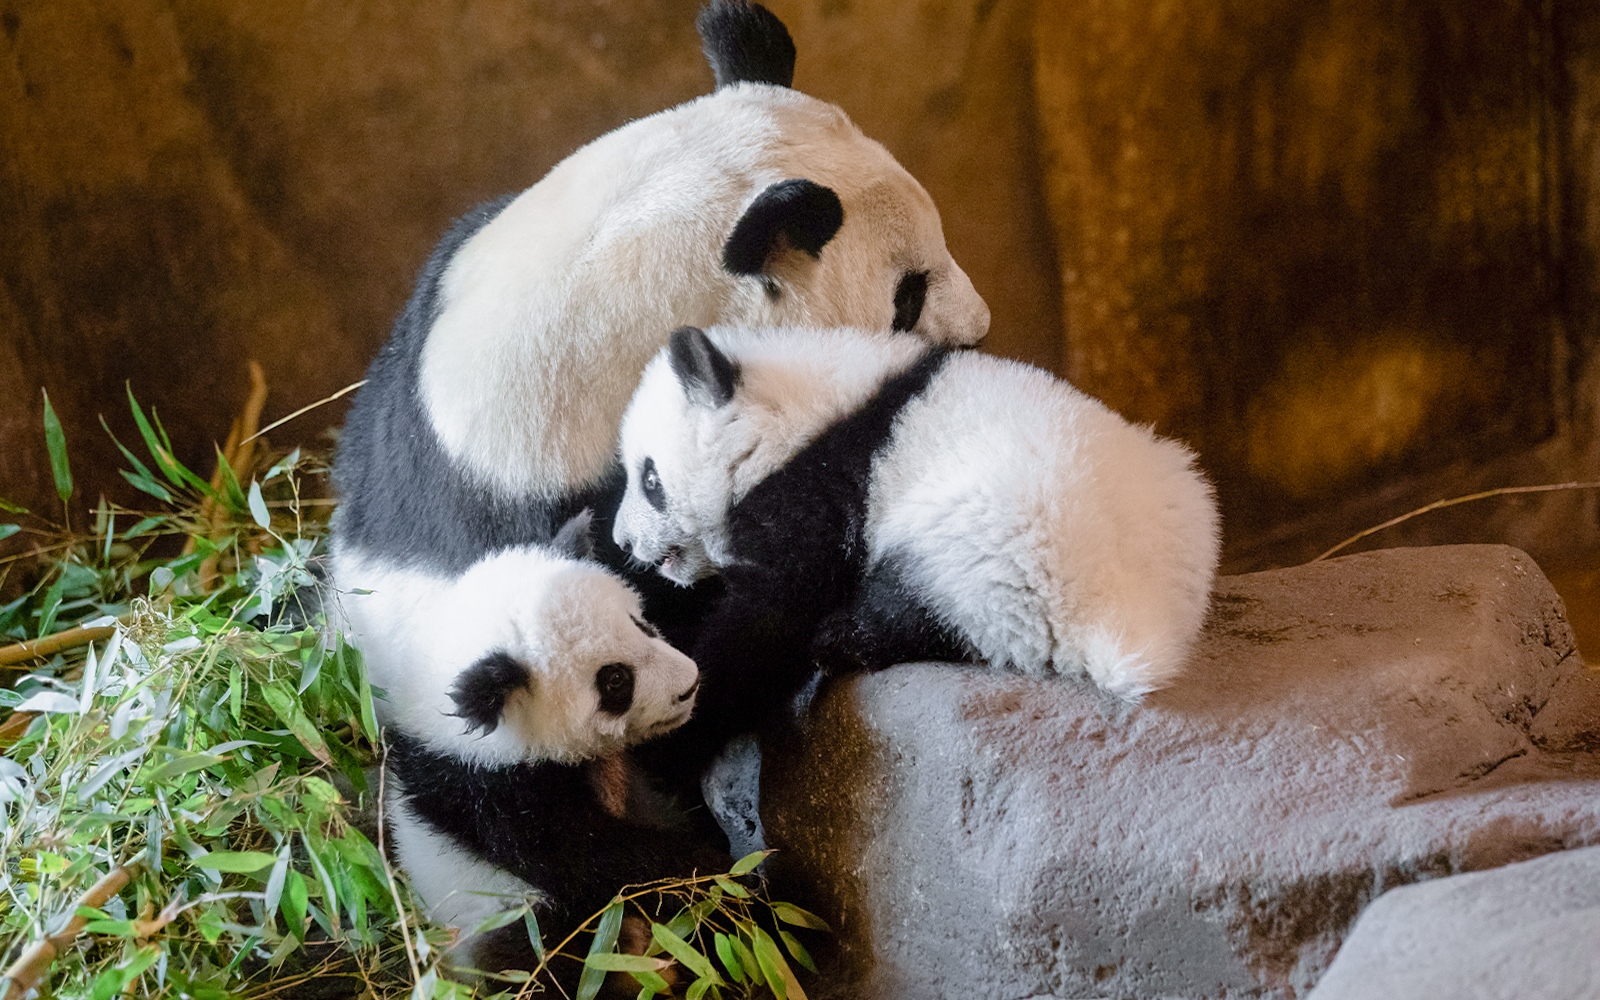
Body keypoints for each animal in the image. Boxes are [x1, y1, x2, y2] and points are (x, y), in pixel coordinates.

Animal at [378, 512, 732, 978]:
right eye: (615, 679)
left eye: (640, 624)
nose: (689, 686)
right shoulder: (492, 800)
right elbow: (588, 858)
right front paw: (713, 871)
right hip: (502, 915)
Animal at [611, 324, 1221, 766]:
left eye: (650, 479)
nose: (623, 540)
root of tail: (1126, 619)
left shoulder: (822, 491)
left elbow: (772, 617)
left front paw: (674, 734)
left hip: (995, 540)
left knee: (921, 604)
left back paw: (843, 637)